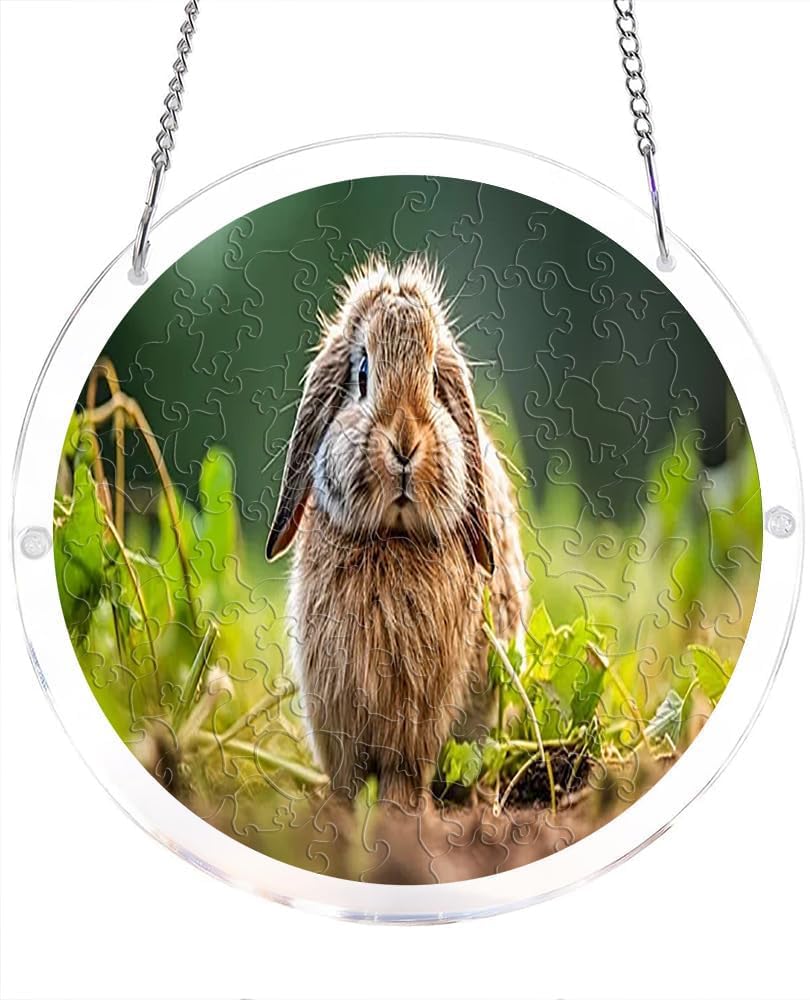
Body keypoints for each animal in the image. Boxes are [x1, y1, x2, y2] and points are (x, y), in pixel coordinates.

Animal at [266, 256, 527, 806]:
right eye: (362, 372)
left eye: (433, 378)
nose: (405, 444)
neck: (392, 540)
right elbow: (347, 784)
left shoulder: (416, 722)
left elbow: (404, 780)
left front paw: (400, 816)